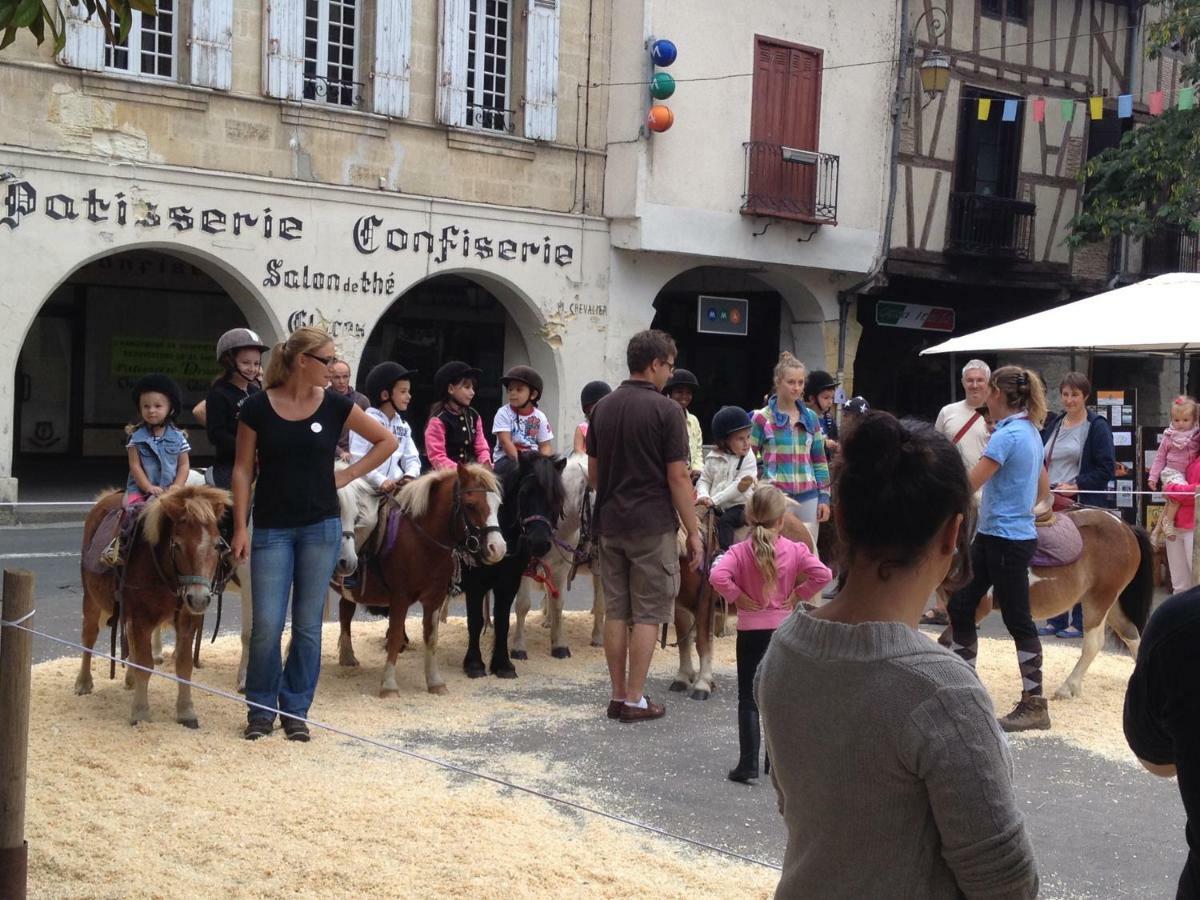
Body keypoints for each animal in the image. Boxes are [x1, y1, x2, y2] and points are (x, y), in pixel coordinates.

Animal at [78, 489, 234, 729]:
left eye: (217, 545)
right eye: (177, 545)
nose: (199, 599)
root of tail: (106, 498)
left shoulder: (186, 619)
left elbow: (184, 664)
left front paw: (186, 711)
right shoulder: (141, 617)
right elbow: (145, 663)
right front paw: (140, 712)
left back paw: (130, 679)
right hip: (92, 599)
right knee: (89, 636)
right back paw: (84, 682)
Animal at [336, 465, 504, 696]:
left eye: (498, 504)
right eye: (470, 505)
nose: (498, 548)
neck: (419, 539)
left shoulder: (434, 598)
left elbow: (431, 637)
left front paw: (435, 682)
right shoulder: (399, 598)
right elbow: (395, 636)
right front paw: (389, 686)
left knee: (345, 610)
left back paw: (347, 657)